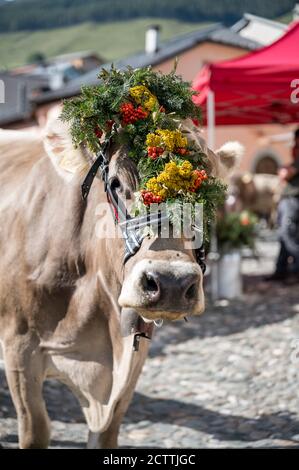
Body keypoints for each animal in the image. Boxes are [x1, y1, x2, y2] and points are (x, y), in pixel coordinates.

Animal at [0, 108, 241, 450]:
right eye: (114, 182)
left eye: (208, 190)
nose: (171, 282)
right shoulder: (19, 348)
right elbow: (37, 430)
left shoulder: (131, 364)